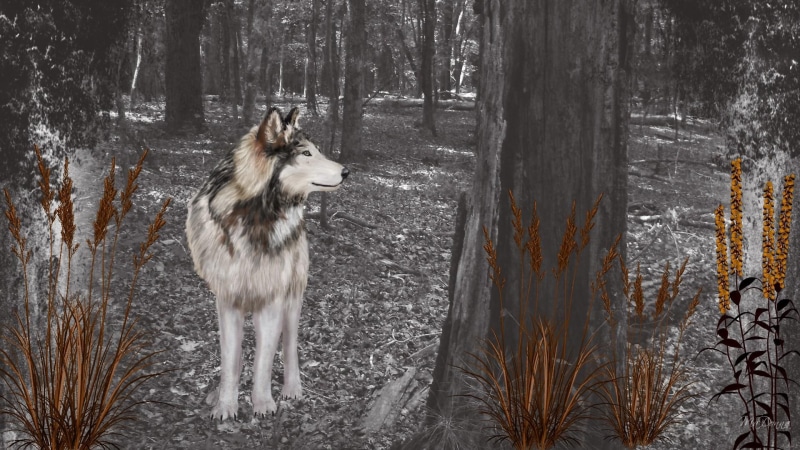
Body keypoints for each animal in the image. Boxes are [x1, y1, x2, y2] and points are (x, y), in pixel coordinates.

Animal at [186, 107, 349, 420]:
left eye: (316, 151)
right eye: (306, 153)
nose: (347, 171)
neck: (256, 217)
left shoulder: (272, 299)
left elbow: (263, 360)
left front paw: (263, 404)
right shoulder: (227, 300)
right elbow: (231, 359)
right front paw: (225, 406)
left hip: (293, 297)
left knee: (290, 344)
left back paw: (292, 388)